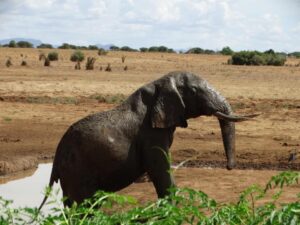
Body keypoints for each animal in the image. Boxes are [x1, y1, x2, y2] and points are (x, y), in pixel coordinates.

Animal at [38, 71, 258, 210]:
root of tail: (57, 155)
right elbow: (160, 167)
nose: (229, 167)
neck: (160, 83)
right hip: (76, 170)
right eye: (195, 92)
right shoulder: (151, 134)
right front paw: (173, 209)